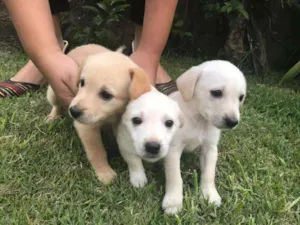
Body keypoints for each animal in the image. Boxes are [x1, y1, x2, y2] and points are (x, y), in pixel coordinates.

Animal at [47, 44, 151, 185]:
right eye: (82, 82)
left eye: (106, 94)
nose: (73, 111)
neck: (112, 115)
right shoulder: (86, 127)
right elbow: (97, 151)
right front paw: (105, 173)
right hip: (53, 92)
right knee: (56, 105)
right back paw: (53, 117)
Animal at [162, 59, 246, 214]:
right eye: (217, 92)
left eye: (241, 97)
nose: (233, 122)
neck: (199, 120)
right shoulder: (173, 150)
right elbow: (175, 177)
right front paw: (173, 201)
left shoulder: (210, 149)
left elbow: (208, 174)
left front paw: (209, 195)